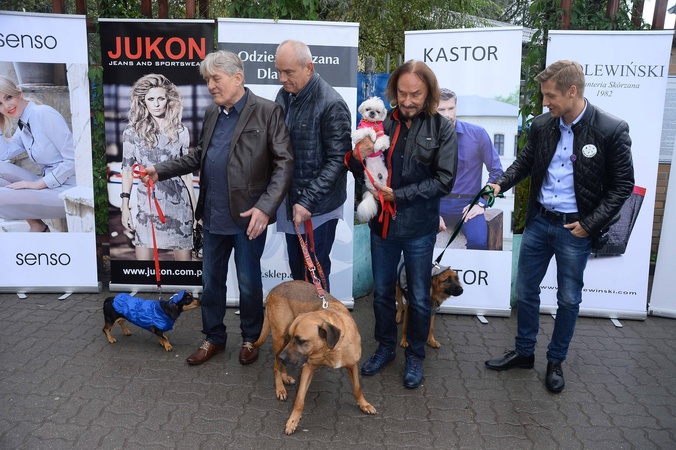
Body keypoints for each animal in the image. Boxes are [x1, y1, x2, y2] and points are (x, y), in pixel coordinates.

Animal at [254, 280, 376, 435]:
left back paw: (285, 375)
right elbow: (299, 400)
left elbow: (357, 388)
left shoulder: (352, 364)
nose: (282, 357)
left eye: (300, 340)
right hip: (279, 338)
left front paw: (364, 404)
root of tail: (274, 289)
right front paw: (293, 421)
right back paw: (280, 388)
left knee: (279, 365)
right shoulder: (308, 368)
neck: (331, 348)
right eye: (296, 339)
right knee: (276, 367)